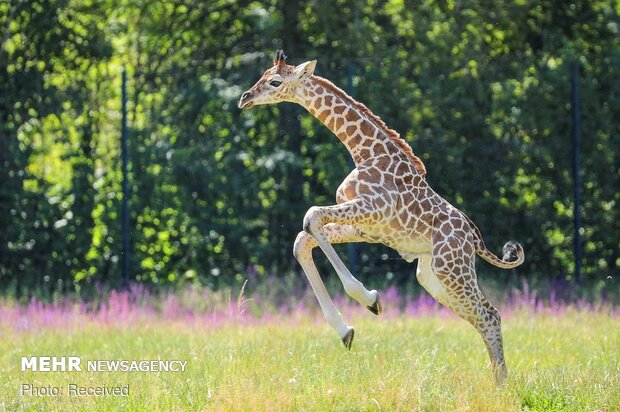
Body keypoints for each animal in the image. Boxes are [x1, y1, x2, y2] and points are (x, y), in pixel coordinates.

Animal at [237, 51, 524, 386]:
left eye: (274, 81)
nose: (244, 98)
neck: (364, 152)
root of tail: (475, 240)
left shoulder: (375, 209)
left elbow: (310, 216)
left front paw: (369, 298)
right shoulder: (366, 228)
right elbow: (303, 239)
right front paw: (346, 331)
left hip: (452, 269)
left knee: (489, 315)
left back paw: (501, 385)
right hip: (432, 277)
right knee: (485, 315)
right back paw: (499, 381)